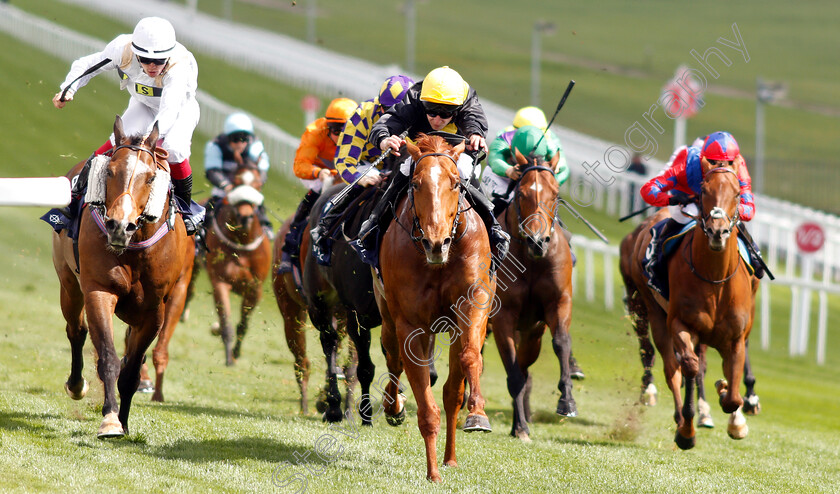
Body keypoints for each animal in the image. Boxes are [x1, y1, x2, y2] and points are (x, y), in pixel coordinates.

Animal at [50, 117, 192, 438]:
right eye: (110, 171)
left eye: (150, 178)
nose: (118, 225)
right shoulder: (99, 291)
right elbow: (108, 358)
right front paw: (111, 419)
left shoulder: (154, 310)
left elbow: (130, 371)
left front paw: (124, 423)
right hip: (69, 284)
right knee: (76, 330)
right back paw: (76, 385)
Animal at [203, 160, 270, 364]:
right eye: (236, 181)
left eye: (257, 184)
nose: (245, 216)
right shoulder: (220, 282)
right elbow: (225, 322)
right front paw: (229, 358)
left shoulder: (254, 289)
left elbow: (243, 325)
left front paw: (236, 352)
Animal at [372, 135, 492, 482]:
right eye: (415, 184)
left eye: (455, 183)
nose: (436, 243)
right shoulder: (411, 324)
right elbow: (425, 406)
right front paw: (432, 473)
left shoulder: (474, 302)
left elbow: (470, 358)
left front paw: (478, 413)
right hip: (389, 316)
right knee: (394, 359)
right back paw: (394, 405)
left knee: (452, 391)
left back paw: (451, 457)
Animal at [492, 147, 576, 440]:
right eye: (521, 194)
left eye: (556, 193)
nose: (537, 241)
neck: (530, 261)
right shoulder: (502, 316)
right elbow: (513, 374)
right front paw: (520, 428)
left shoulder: (556, 304)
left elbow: (560, 343)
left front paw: (567, 401)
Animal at [616, 158, 760, 448]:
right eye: (703, 190)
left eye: (738, 194)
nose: (718, 232)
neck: (715, 279)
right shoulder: (682, 324)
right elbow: (690, 366)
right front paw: (687, 428)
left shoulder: (735, 336)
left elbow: (732, 394)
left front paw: (732, 407)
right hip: (647, 308)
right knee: (669, 364)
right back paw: (675, 412)